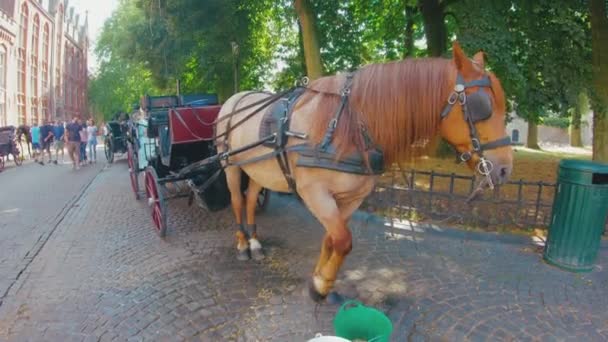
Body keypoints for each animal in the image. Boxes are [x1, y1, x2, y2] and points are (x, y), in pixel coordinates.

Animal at [214, 42, 512, 302]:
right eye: (483, 106)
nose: (504, 169)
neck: (346, 125)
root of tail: (234, 99)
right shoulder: (315, 193)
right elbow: (343, 240)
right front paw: (321, 286)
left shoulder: (351, 197)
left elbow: (333, 239)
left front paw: (320, 279)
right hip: (230, 166)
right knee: (237, 201)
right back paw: (242, 245)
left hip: (257, 170)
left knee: (250, 201)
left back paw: (255, 242)